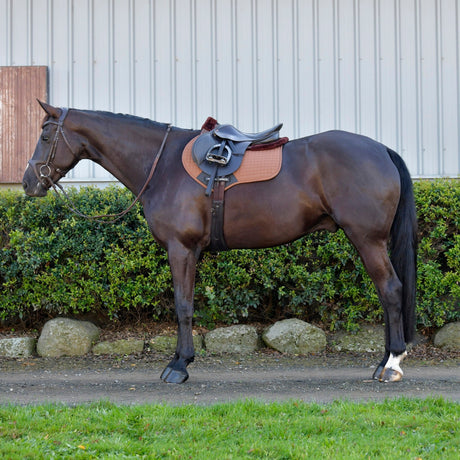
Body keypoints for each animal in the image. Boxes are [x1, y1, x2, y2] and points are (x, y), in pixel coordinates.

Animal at [23, 101, 416, 384]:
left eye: (45, 136)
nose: (28, 182)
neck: (162, 166)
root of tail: (382, 150)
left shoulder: (181, 248)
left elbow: (183, 306)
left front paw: (179, 366)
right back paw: (382, 361)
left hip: (367, 240)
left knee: (391, 290)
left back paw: (392, 364)